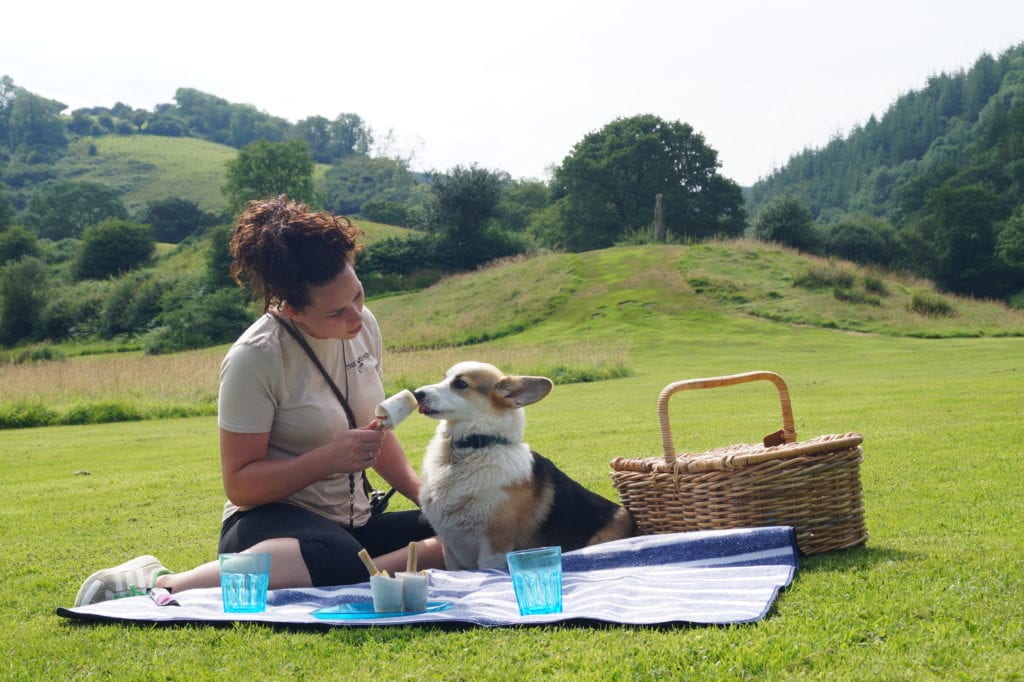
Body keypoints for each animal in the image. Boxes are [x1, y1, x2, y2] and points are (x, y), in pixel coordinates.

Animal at [413, 360, 630, 569]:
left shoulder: (494, 548)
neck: (470, 448)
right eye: (444, 377)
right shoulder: (450, 550)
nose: (416, 394)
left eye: (460, 384)